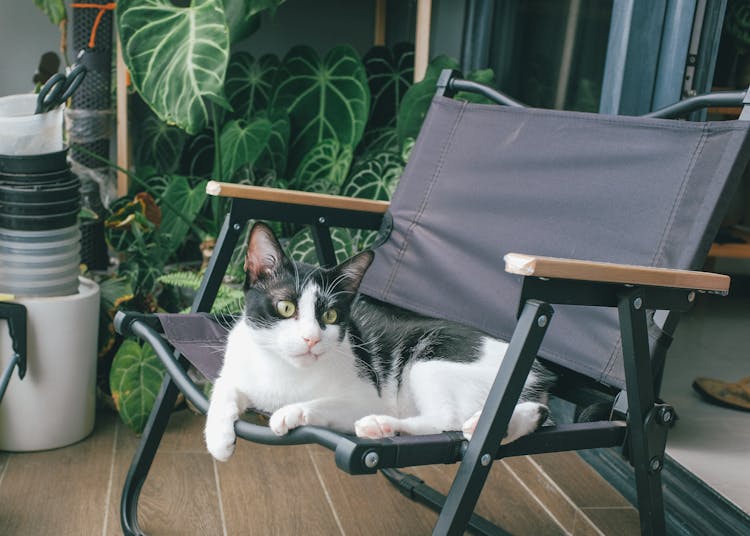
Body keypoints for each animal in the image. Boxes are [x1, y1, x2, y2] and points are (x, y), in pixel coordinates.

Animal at [206, 221, 552, 460]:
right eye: (286, 307)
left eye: (330, 315)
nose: (311, 339)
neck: (285, 371)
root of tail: (539, 372)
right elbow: (223, 385)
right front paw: (218, 438)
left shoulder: (366, 394)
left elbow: (327, 402)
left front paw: (292, 412)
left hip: (429, 360)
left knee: (445, 419)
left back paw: (380, 423)